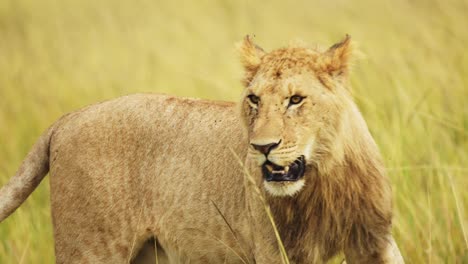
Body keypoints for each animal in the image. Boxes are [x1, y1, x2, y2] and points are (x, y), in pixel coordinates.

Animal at [0, 35, 402, 264]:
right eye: (254, 99)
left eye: (296, 100)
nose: (263, 147)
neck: (324, 181)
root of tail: (66, 119)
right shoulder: (274, 250)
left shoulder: (375, 241)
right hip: (91, 249)